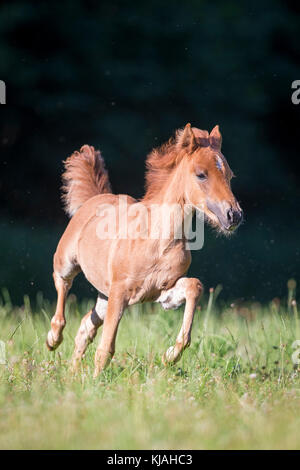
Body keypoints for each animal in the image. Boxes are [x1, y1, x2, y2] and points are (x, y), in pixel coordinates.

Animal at [47, 123, 244, 376]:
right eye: (201, 174)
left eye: (229, 175)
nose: (234, 215)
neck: (157, 241)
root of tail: (95, 198)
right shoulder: (120, 292)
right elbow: (106, 346)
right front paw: (96, 380)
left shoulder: (161, 293)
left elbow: (195, 286)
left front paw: (171, 355)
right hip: (68, 263)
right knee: (62, 284)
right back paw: (53, 338)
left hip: (104, 294)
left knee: (85, 326)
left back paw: (72, 373)